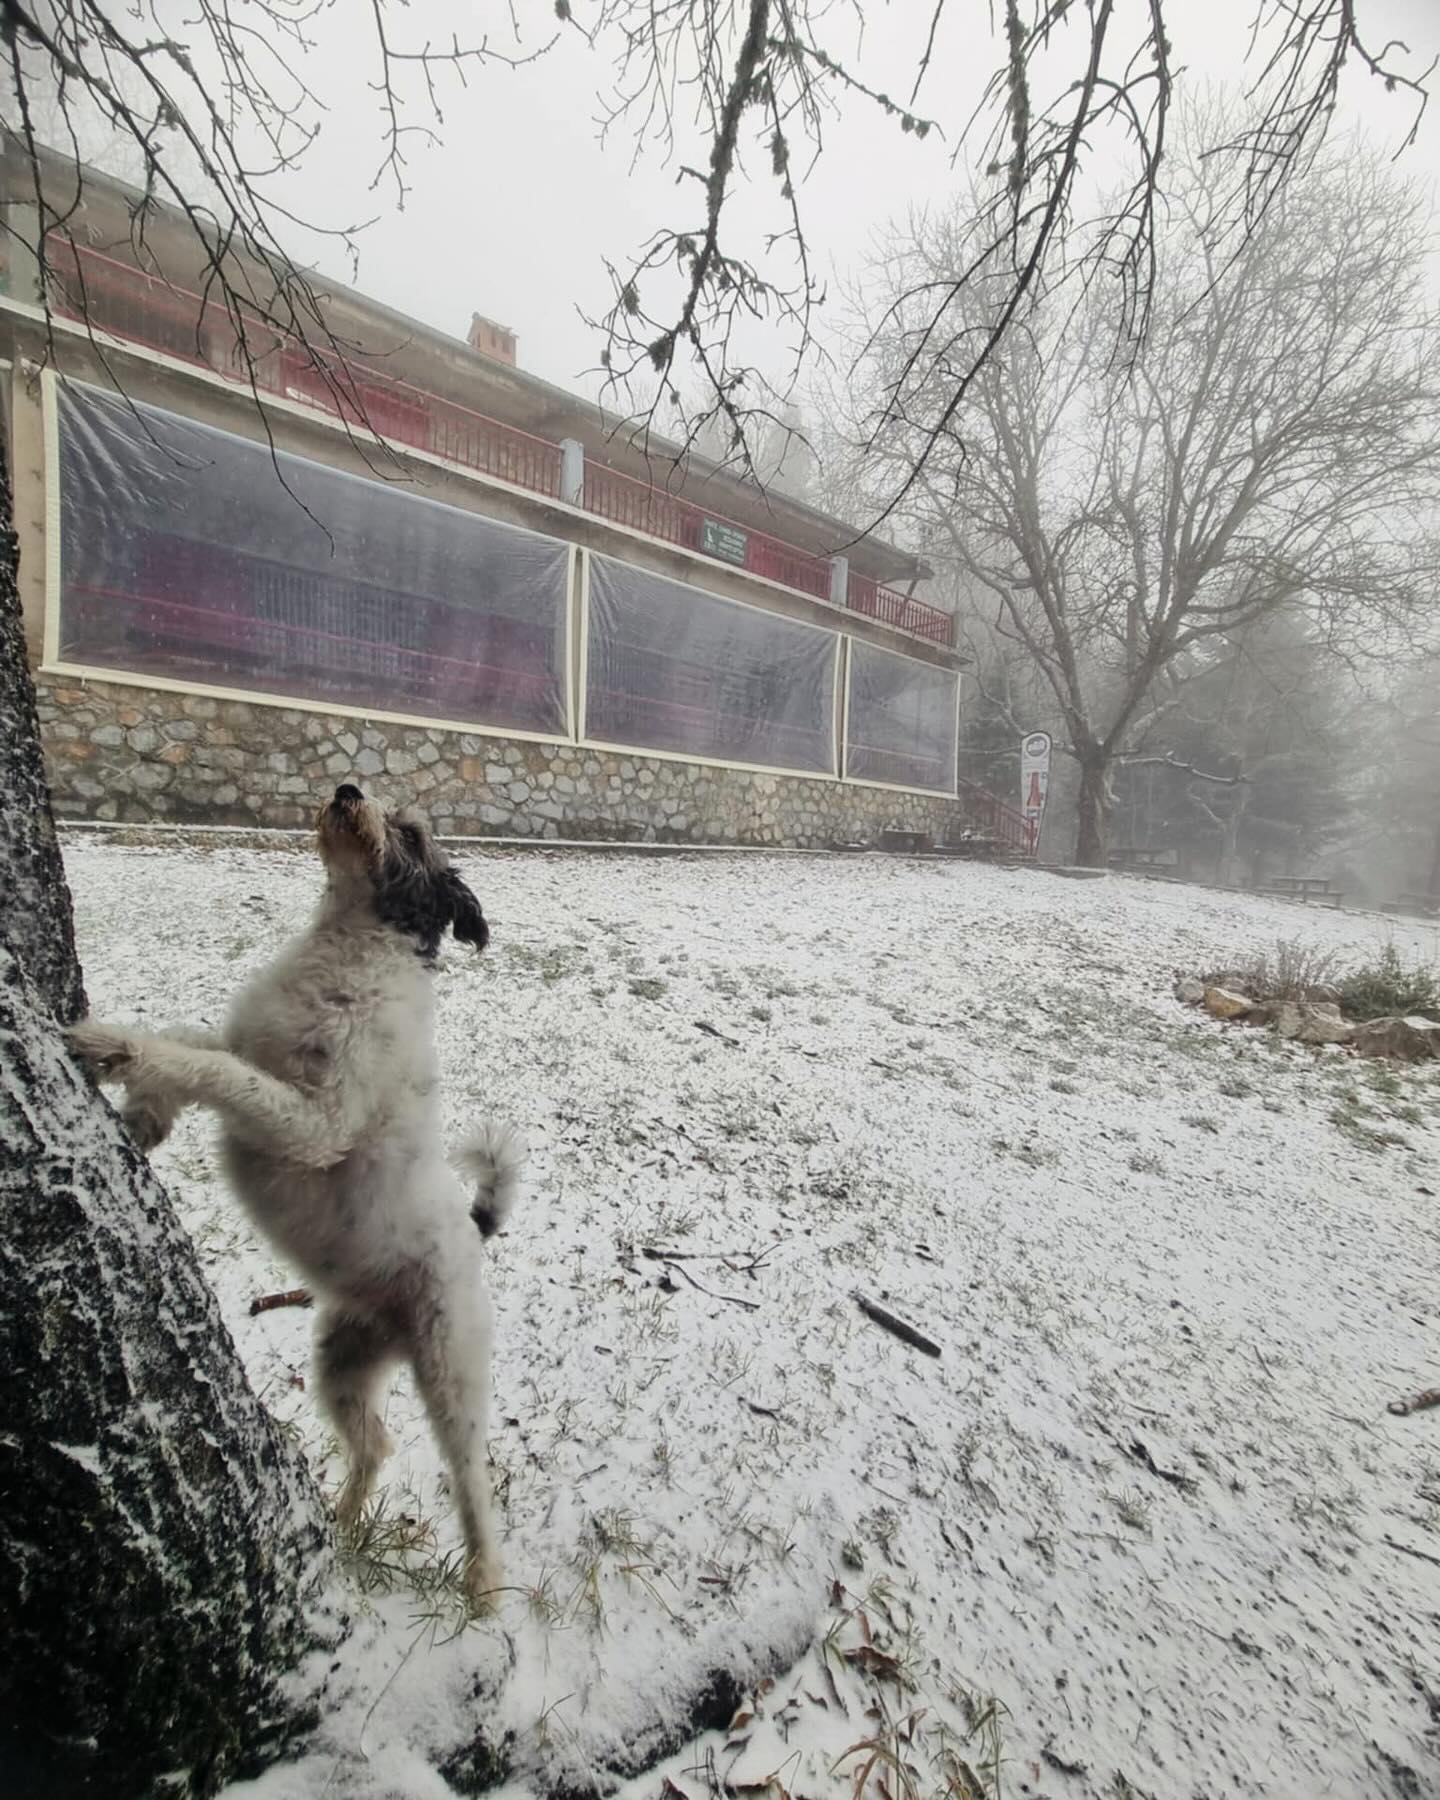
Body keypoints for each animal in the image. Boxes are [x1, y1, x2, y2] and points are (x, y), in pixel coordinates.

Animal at [67, 788, 525, 1605]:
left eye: (411, 834)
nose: (347, 791)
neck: (351, 944)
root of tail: (474, 1234)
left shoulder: (312, 1122)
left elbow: (214, 1071)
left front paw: (113, 1048)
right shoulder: (251, 1051)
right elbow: (197, 1046)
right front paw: (145, 1110)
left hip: (450, 1373)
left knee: (470, 1482)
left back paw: (481, 1589)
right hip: (343, 1358)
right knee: (377, 1443)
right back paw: (341, 1527)